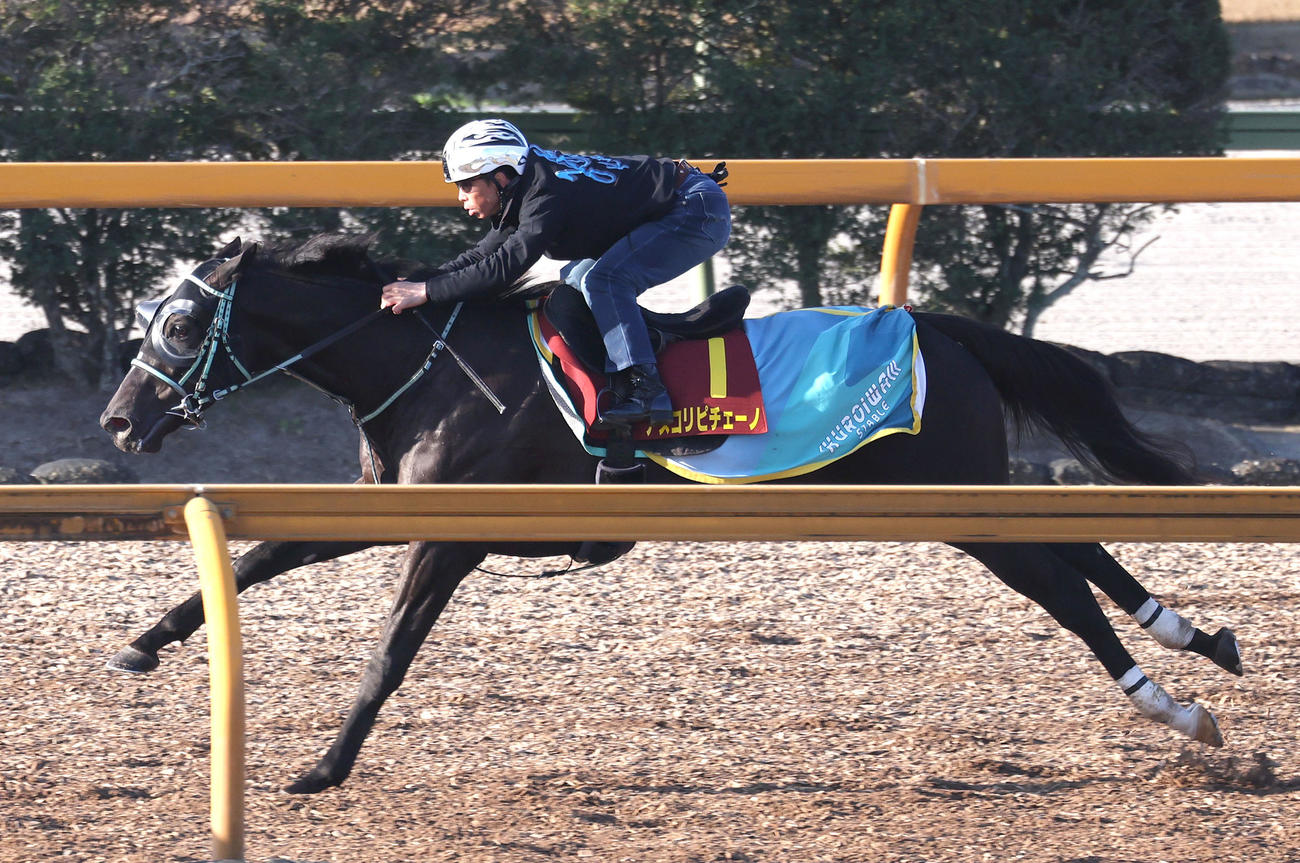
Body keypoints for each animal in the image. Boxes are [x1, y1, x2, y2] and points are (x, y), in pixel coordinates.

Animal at [100, 234, 1242, 795]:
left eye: (185, 322)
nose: (118, 419)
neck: (434, 367)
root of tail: (944, 329)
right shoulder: (386, 508)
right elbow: (254, 560)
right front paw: (144, 642)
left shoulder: (451, 534)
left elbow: (386, 653)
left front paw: (323, 767)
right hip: (968, 494)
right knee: (1079, 551)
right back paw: (1198, 639)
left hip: (949, 494)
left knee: (1061, 585)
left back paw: (1174, 703)